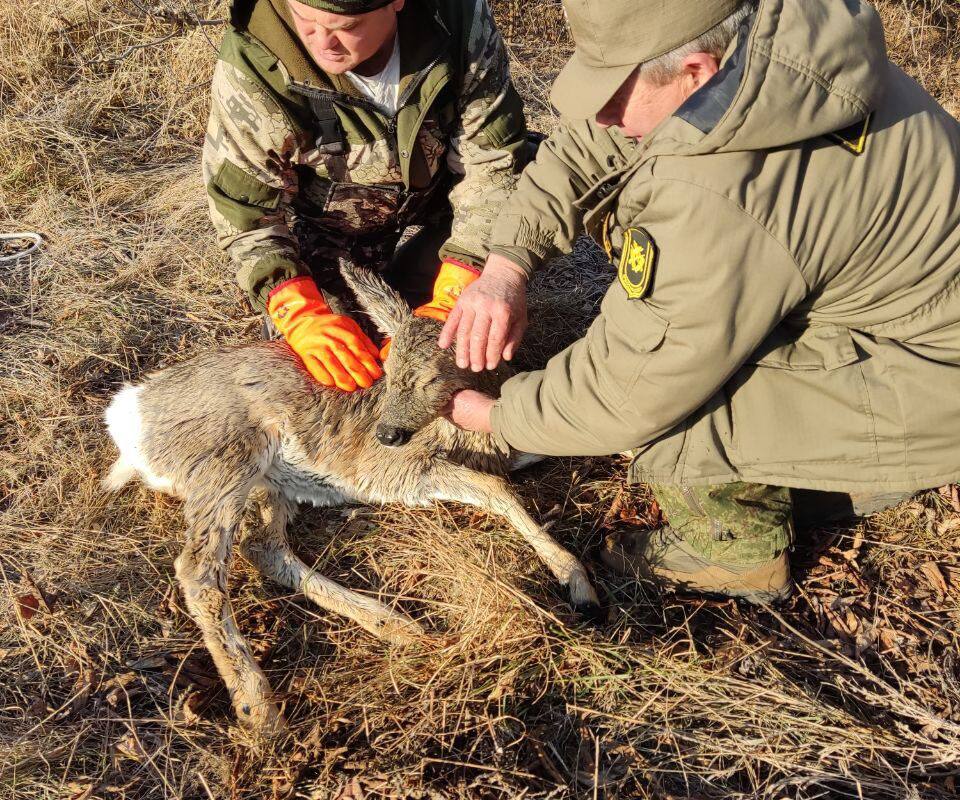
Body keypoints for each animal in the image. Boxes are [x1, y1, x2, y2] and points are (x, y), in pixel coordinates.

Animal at [105, 260, 600, 732]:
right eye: (391, 369)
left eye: (431, 378)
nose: (387, 433)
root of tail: (127, 423)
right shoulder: (397, 470)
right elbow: (495, 487)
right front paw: (577, 579)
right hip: (229, 457)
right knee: (200, 570)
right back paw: (259, 709)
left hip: (269, 483)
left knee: (263, 547)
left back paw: (396, 626)